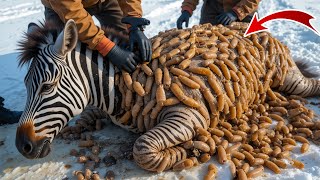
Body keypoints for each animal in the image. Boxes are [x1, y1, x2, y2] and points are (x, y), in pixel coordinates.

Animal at [15, 19, 320, 172]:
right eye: (26, 85)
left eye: (46, 87)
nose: (23, 147)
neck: (119, 85)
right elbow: (86, 115)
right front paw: (74, 128)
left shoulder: (189, 115)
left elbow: (143, 149)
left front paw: (185, 152)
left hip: (289, 79)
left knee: (312, 85)